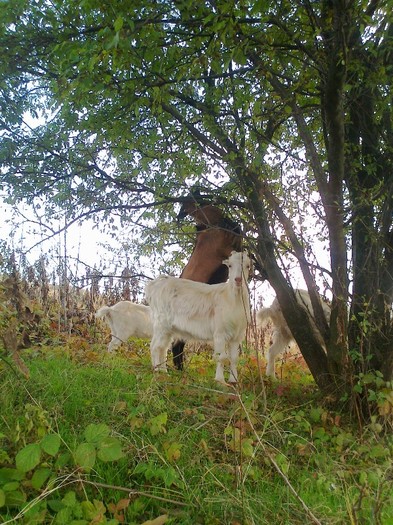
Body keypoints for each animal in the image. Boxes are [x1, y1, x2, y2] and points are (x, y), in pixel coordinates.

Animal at [144, 250, 251, 380]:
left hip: (168, 328)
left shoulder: (237, 335)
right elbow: (221, 357)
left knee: (162, 348)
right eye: (230, 265)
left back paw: (164, 372)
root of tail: (154, 285)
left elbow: (234, 359)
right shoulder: (220, 333)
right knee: (155, 346)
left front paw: (233, 381)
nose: (238, 280)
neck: (232, 298)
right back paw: (157, 372)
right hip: (161, 323)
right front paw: (220, 380)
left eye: (247, 266)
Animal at [172, 195, 242, 368]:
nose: (179, 216)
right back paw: (178, 369)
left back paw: (179, 369)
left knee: (179, 343)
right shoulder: (225, 249)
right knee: (176, 344)